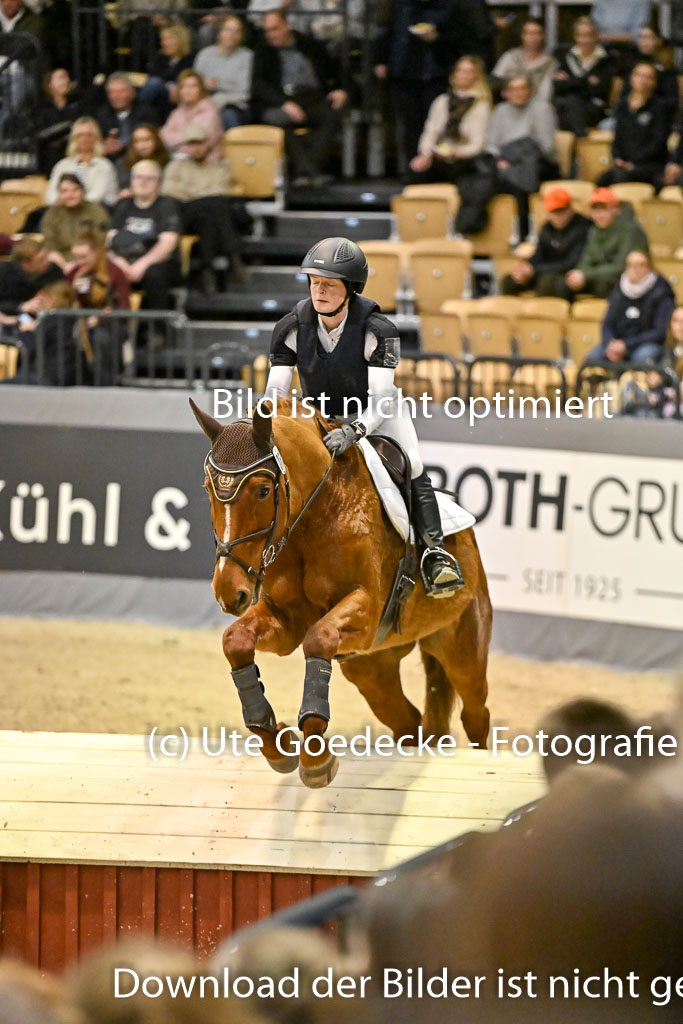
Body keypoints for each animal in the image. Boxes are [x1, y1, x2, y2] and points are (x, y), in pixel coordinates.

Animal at [191, 397, 492, 788]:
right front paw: (277, 742)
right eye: (208, 489)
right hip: (372, 668)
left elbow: (319, 639)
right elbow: (236, 641)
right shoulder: (285, 622)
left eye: (263, 490)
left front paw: (315, 757)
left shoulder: (365, 611)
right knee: (408, 723)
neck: (315, 515)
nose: (229, 592)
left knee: (476, 713)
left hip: (462, 649)